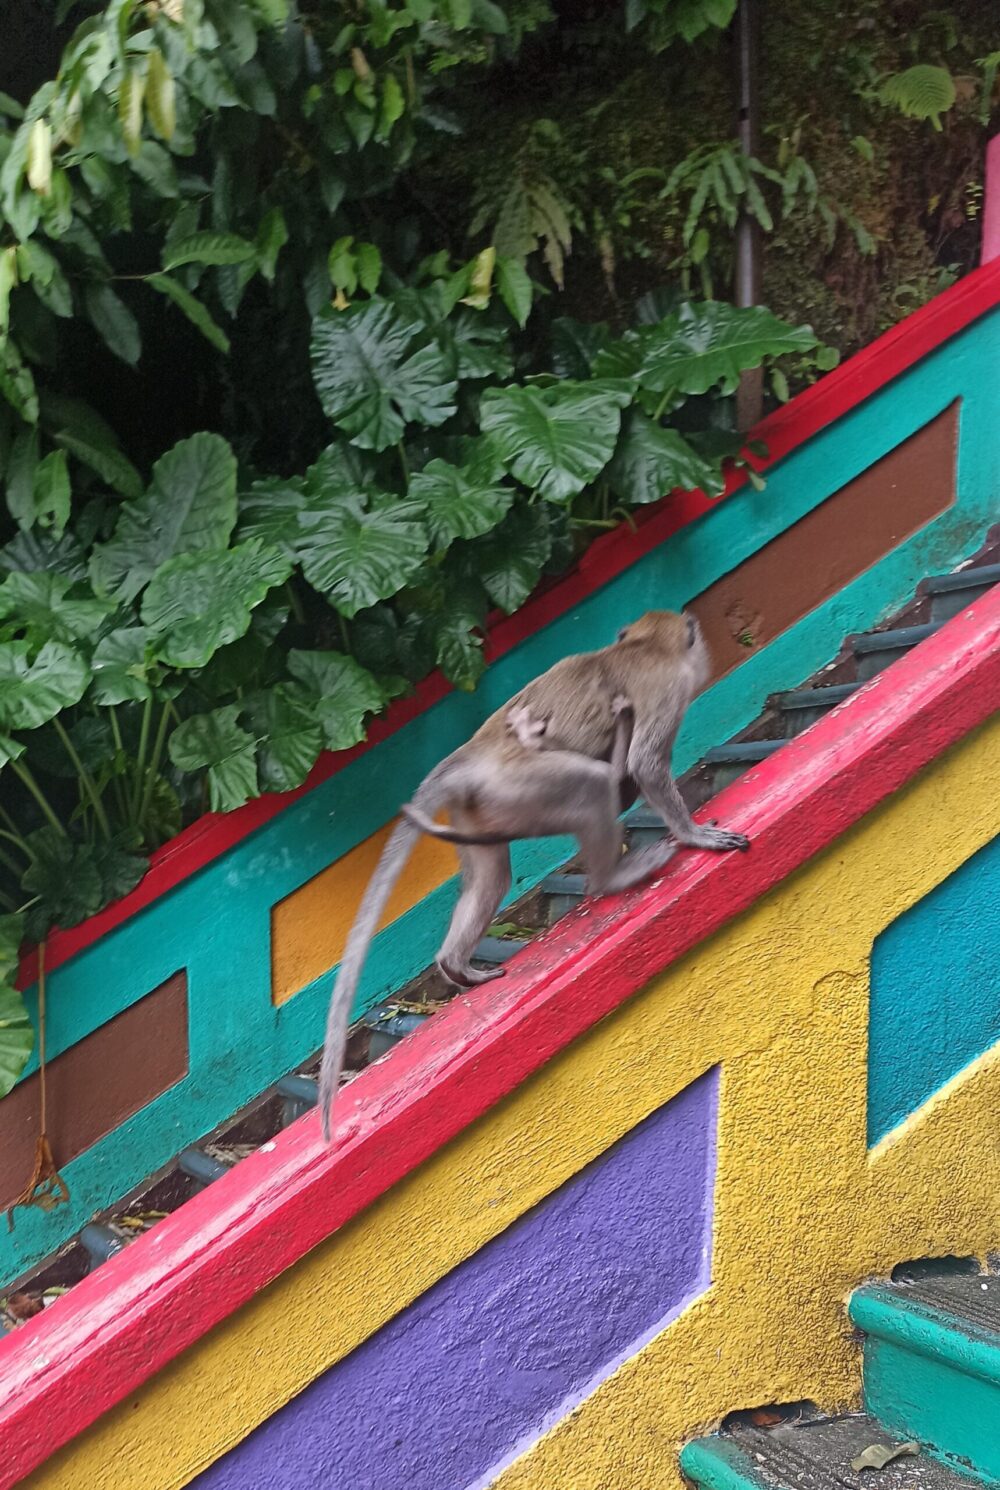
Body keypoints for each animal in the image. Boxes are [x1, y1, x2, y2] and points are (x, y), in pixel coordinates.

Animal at [318, 610, 748, 1139]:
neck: (642, 647)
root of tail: (473, 752)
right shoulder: (667, 689)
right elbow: (644, 765)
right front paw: (694, 835)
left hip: (481, 808)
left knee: (491, 878)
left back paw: (455, 965)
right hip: (524, 784)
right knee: (591, 785)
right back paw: (611, 877)